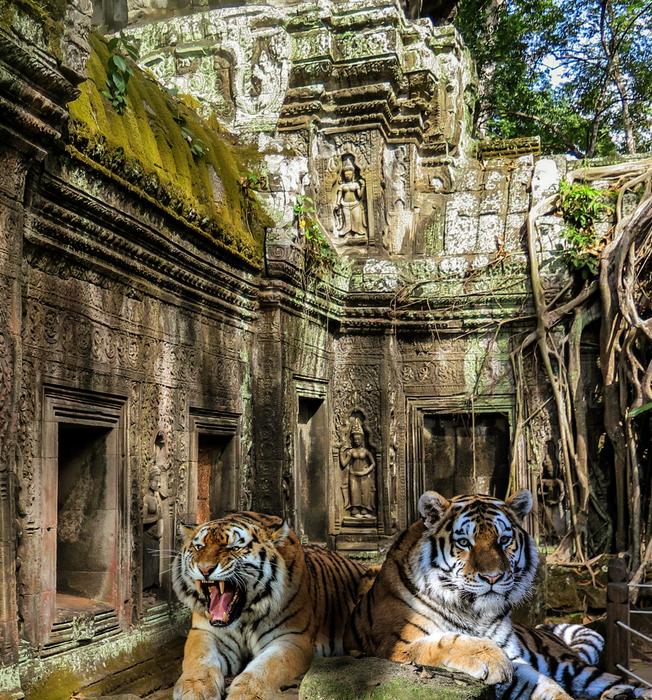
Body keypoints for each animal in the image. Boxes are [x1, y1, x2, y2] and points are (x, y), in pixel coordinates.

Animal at [172, 511, 374, 700]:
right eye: (199, 547)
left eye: (234, 548)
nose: (204, 569)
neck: (244, 615)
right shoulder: (205, 632)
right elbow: (199, 658)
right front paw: (194, 688)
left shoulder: (292, 638)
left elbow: (264, 668)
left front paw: (245, 694)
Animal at [346, 489, 651, 700]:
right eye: (464, 542)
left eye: (504, 540)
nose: (492, 577)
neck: (473, 612)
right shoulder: (396, 643)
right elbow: (446, 641)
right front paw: (488, 656)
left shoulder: (517, 659)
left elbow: (549, 688)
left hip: (570, 666)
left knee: (618, 681)